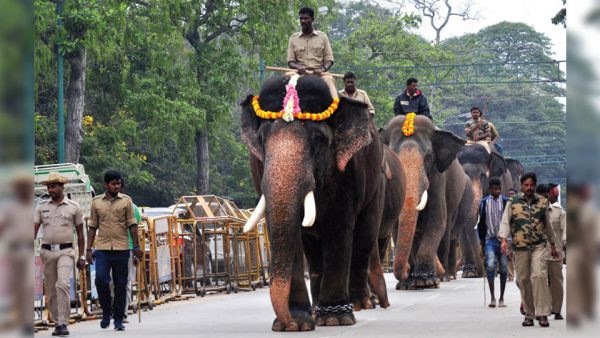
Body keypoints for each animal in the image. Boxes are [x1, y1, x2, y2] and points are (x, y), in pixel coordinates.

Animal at [241, 75, 386, 332]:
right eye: (260, 140)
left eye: (319, 140)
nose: (285, 321)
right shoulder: (259, 171)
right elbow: (289, 233)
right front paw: (296, 324)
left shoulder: (347, 170)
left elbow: (338, 228)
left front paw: (336, 319)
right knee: (313, 248)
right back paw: (318, 310)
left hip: (375, 183)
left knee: (363, 238)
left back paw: (358, 304)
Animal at [382, 115, 472, 288]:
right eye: (393, 154)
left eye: (429, 156)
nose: (405, 270)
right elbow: (396, 227)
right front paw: (406, 284)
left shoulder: (438, 177)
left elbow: (436, 221)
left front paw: (425, 282)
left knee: (446, 231)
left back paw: (444, 277)